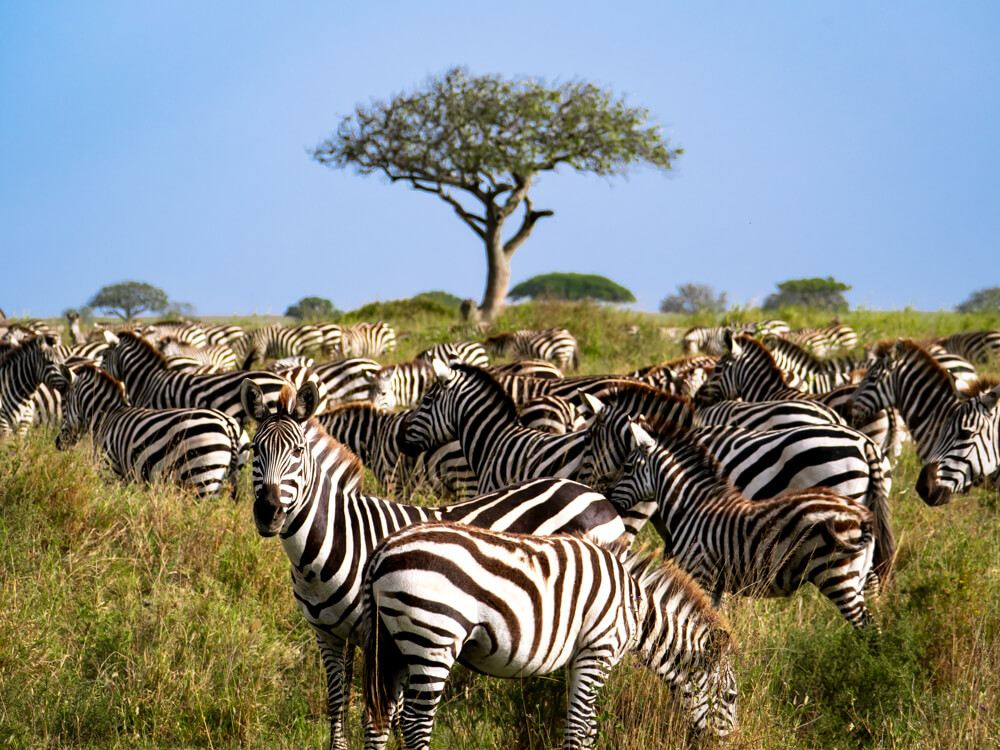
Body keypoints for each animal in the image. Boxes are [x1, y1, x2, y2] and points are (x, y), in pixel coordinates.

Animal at [55, 365, 249, 497]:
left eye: (63, 404)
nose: (57, 443)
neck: (107, 416)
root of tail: (227, 424)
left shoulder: (110, 470)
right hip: (228, 476)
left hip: (202, 478)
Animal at [240, 379, 627, 750]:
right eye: (255, 450)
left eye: (297, 451)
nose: (269, 512)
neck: (333, 543)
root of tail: (592, 493)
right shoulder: (328, 636)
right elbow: (337, 705)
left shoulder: (382, 636)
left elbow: (390, 714)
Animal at [361, 523, 738, 750]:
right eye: (731, 697)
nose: (732, 743)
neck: (635, 607)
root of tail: (382, 550)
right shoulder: (597, 653)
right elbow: (578, 726)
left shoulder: (580, 658)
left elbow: (588, 727)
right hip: (434, 638)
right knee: (415, 723)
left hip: (392, 644)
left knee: (378, 718)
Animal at [608, 421, 885, 627]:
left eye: (628, 466)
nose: (610, 500)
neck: (692, 506)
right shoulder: (715, 582)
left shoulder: (701, 573)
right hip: (856, 573)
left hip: (838, 576)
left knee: (868, 627)